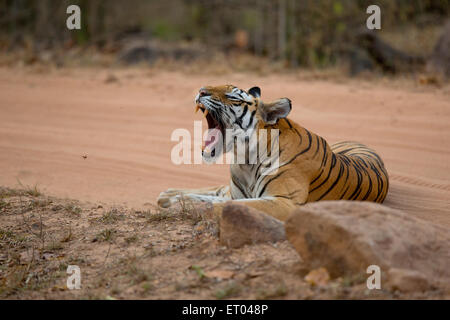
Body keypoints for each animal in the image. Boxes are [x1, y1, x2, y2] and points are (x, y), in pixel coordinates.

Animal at [156, 84, 388, 220]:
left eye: (233, 96)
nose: (201, 91)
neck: (245, 160)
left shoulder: (284, 202)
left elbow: (219, 204)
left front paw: (178, 205)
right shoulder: (236, 192)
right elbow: (212, 196)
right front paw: (171, 199)